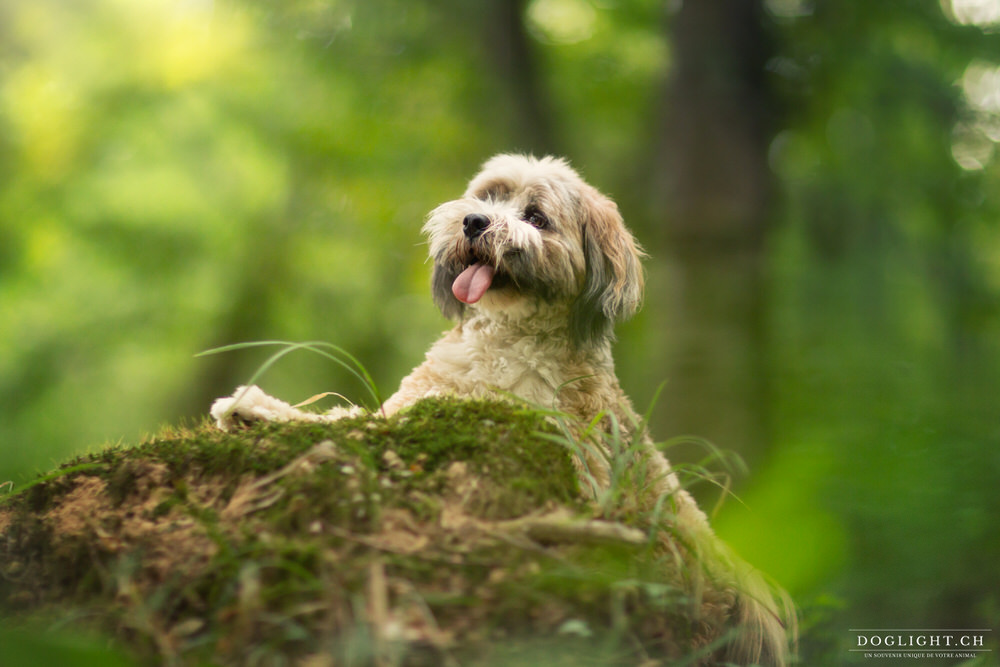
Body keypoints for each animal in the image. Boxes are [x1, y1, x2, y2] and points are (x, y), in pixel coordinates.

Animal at [209, 155, 788, 664]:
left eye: (535, 217)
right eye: (486, 197)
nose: (473, 221)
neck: (503, 336)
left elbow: (348, 421)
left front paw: (256, 407)